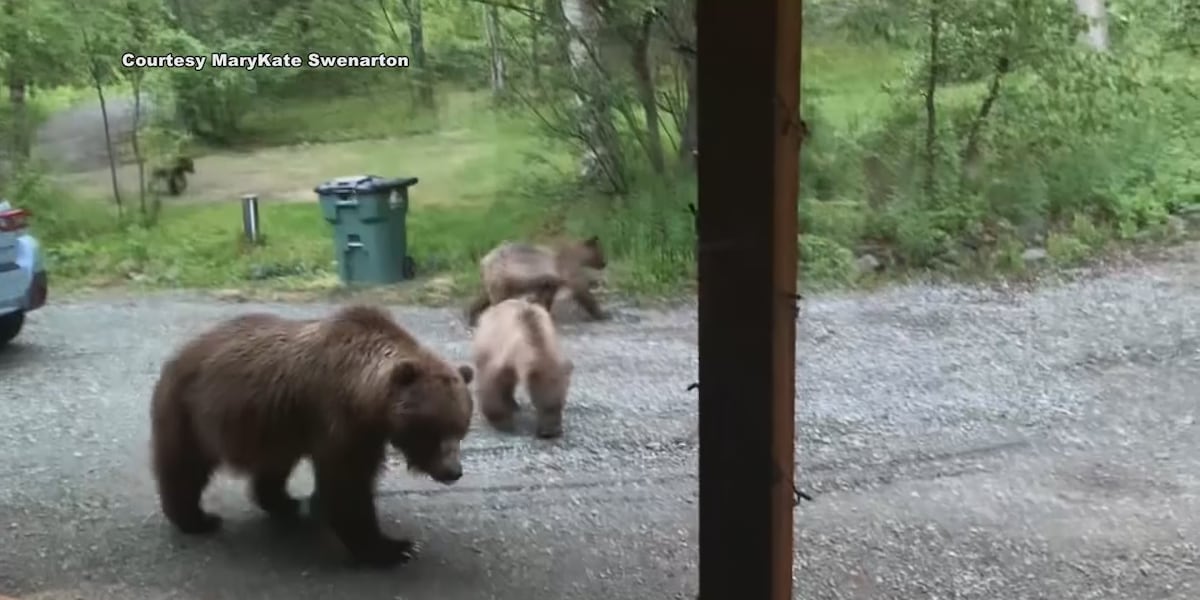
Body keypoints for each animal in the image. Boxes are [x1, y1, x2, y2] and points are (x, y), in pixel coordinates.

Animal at [148, 303, 475, 568]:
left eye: (461, 429)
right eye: (433, 430)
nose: (453, 471)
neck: (366, 398)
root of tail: (181, 352)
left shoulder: (360, 430)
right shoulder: (341, 422)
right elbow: (347, 486)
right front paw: (392, 547)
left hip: (272, 424)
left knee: (273, 466)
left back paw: (285, 503)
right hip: (190, 410)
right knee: (185, 466)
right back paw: (196, 518)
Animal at [464, 236, 609, 326]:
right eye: (601, 252)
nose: (604, 263)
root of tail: (484, 260)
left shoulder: (549, 280)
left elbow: (546, 296)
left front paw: (543, 311)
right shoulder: (568, 271)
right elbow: (582, 291)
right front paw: (602, 314)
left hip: (498, 280)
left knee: (483, 297)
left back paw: (472, 316)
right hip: (502, 276)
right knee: (497, 299)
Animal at [470, 297, 574, 438]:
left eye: (561, 404)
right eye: (538, 403)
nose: (550, 432)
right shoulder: (504, 357)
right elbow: (491, 384)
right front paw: (504, 423)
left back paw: (513, 403)